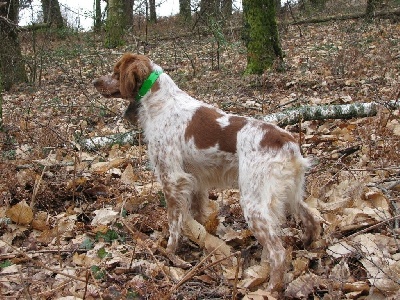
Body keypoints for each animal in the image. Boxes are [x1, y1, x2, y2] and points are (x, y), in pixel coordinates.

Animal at [92, 53, 320, 290]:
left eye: (115, 72)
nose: (94, 82)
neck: (160, 101)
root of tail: (288, 141)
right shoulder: (196, 181)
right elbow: (198, 216)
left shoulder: (172, 178)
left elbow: (174, 223)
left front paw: (171, 255)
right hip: (290, 193)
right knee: (311, 218)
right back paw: (308, 246)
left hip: (254, 202)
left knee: (278, 252)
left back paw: (271, 288)